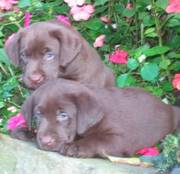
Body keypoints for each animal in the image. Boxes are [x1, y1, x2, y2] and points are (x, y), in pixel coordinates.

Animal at [19, 79, 180, 157]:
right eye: (38, 115)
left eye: (63, 115)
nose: (46, 141)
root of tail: (170, 107)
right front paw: (26, 132)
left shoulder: (122, 138)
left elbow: (98, 139)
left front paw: (76, 146)